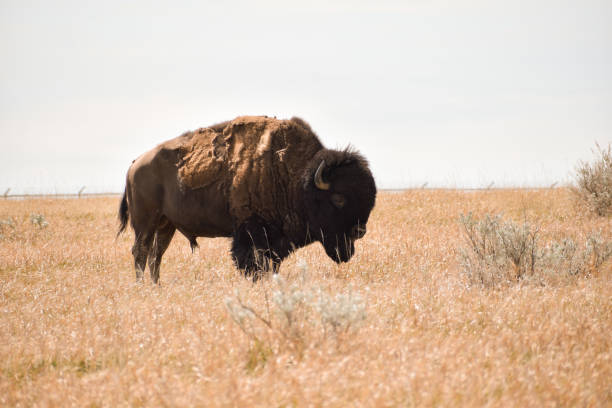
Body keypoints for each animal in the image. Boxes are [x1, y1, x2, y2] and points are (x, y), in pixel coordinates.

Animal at [116, 115, 376, 280]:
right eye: (339, 198)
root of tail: (134, 164)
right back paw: (142, 286)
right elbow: (252, 263)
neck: (295, 177)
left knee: (156, 255)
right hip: (145, 222)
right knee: (141, 252)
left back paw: (156, 286)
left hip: (166, 224)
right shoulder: (251, 234)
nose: (359, 231)